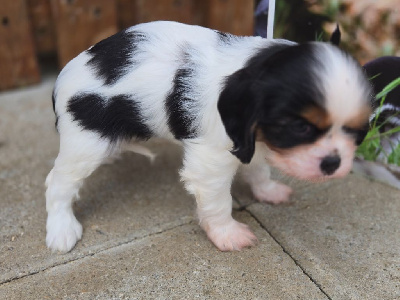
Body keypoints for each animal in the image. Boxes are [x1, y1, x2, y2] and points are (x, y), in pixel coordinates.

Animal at [46, 19, 372, 252]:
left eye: (357, 129)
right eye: (299, 127)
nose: (333, 163)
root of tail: (62, 76)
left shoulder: (251, 141)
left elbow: (259, 169)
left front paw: (268, 191)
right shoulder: (211, 161)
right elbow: (218, 201)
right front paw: (227, 234)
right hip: (85, 144)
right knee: (59, 183)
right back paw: (61, 229)